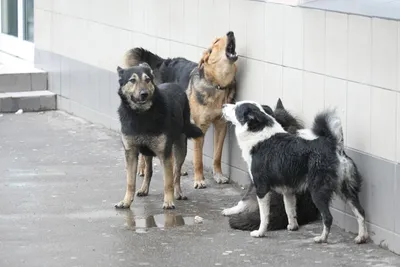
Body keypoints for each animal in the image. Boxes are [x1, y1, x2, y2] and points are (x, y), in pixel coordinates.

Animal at [126, 31, 238, 193]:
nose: (231, 33)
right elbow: (198, 158)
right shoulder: (200, 128)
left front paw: (218, 175)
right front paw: (199, 180)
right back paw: (142, 168)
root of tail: (162, 62)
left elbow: (217, 155)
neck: (216, 85)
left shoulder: (221, 125)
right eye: (217, 41)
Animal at [222, 101, 368, 245]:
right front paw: (293, 226)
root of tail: (333, 146)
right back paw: (362, 237)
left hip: (318, 191)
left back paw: (322, 238)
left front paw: (260, 232)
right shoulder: (288, 190)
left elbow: (264, 215)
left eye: (236, 108)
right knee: (360, 212)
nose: (223, 105)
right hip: (347, 190)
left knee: (328, 217)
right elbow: (290, 210)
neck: (259, 135)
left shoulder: (261, 188)